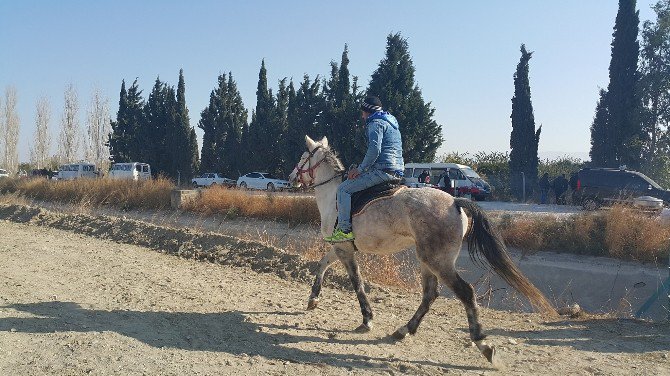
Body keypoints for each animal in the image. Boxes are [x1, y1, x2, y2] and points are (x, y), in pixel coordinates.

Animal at [288, 136, 556, 364]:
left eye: (302, 157)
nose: (291, 179)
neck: (334, 194)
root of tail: (455, 201)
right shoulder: (341, 248)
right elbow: (322, 264)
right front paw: (313, 299)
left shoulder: (345, 250)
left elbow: (357, 284)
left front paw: (367, 319)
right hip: (428, 260)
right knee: (430, 294)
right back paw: (404, 330)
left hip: (437, 261)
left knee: (465, 293)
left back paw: (483, 344)